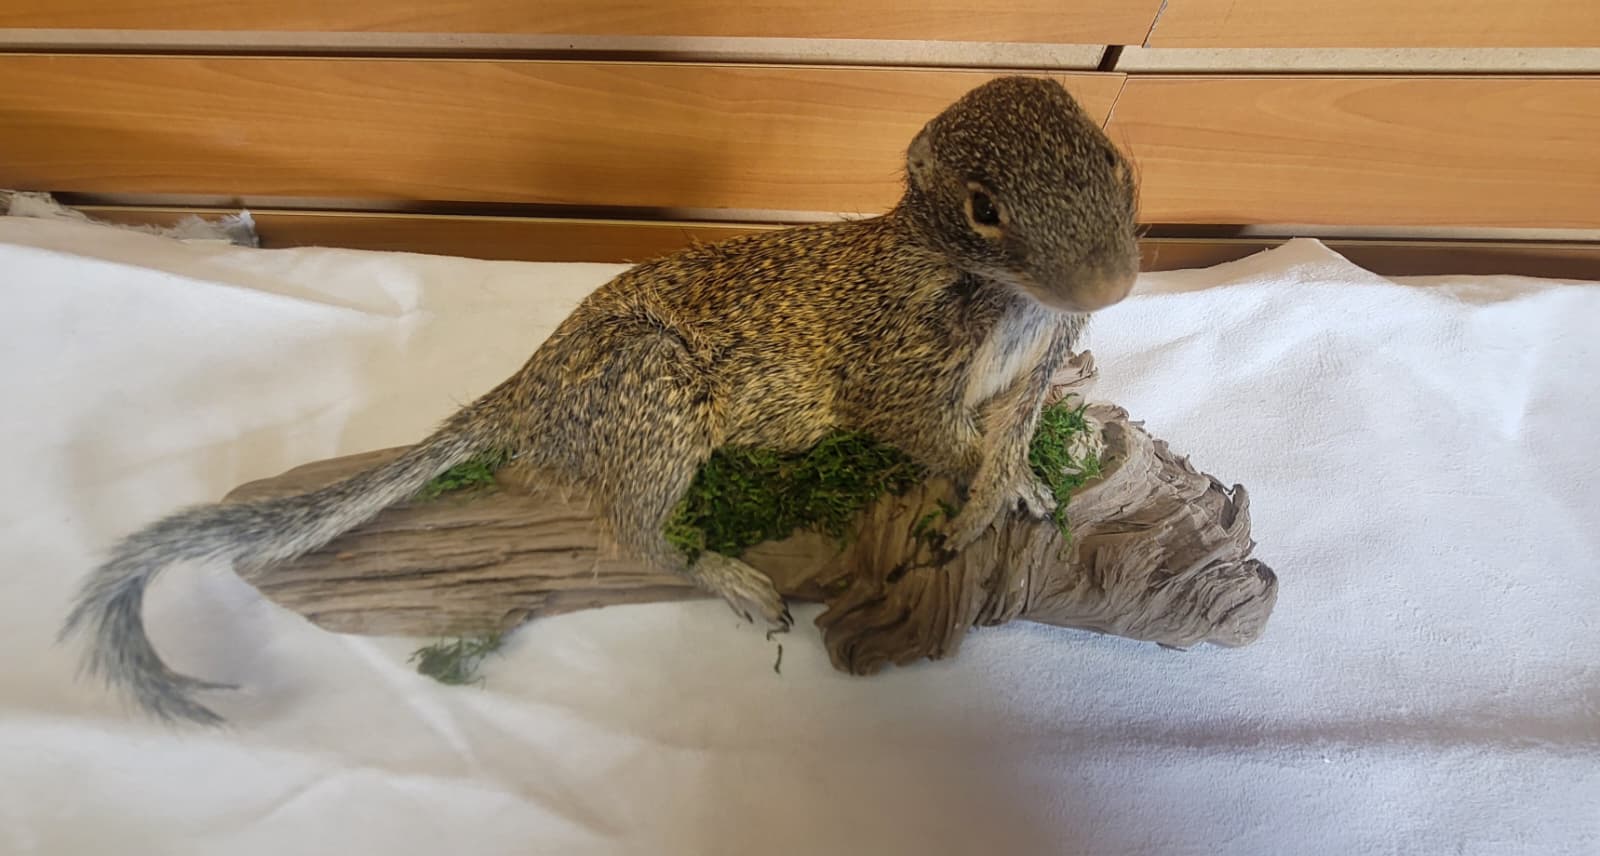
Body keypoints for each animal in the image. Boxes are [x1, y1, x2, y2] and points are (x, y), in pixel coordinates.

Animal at [60, 75, 1141, 725]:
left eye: (1115, 161)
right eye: (983, 209)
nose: (1114, 283)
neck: (1013, 307)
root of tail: (523, 396)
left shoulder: (1040, 356)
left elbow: (1017, 422)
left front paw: (1023, 470)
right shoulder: (901, 372)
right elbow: (934, 436)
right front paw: (993, 492)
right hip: (653, 397)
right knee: (627, 529)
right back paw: (729, 575)